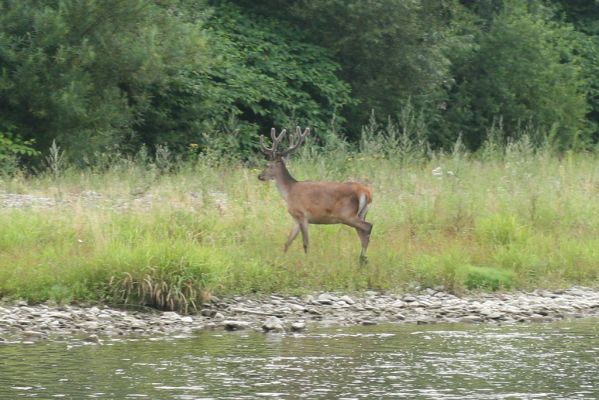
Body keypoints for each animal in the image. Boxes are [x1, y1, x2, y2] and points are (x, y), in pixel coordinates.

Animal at [258, 126, 372, 262]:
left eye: (267, 165)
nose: (259, 176)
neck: (289, 192)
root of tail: (366, 192)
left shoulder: (302, 215)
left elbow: (305, 242)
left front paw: (307, 261)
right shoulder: (296, 219)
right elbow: (288, 242)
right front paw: (281, 258)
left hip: (347, 214)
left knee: (368, 227)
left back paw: (362, 259)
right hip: (361, 214)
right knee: (362, 232)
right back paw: (363, 259)